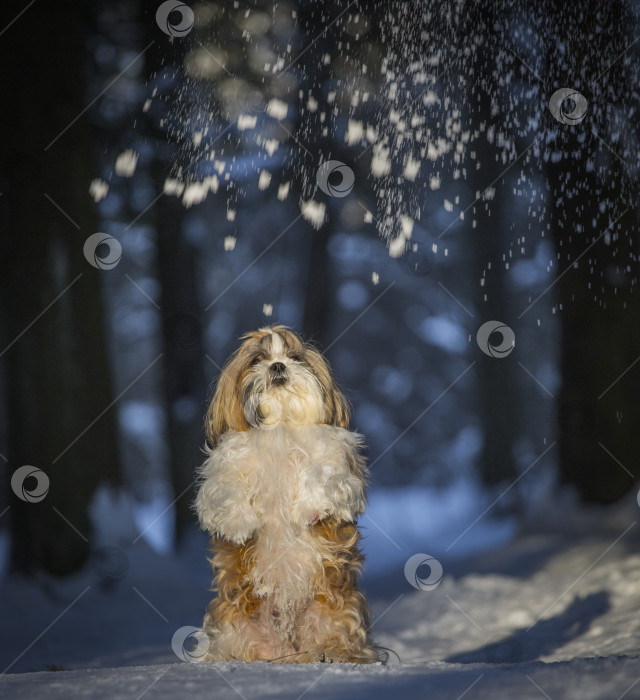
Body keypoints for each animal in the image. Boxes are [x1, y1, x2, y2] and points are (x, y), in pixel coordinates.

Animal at [195, 326, 380, 664]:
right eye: (258, 359)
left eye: (294, 356)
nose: (278, 365)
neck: (280, 426)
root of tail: (287, 650)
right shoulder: (222, 473)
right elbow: (226, 488)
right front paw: (239, 524)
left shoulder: (343, 471)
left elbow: (323, 472)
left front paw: (309, 507)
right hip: (230, 625)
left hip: (341, 616)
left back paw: (330, 653)